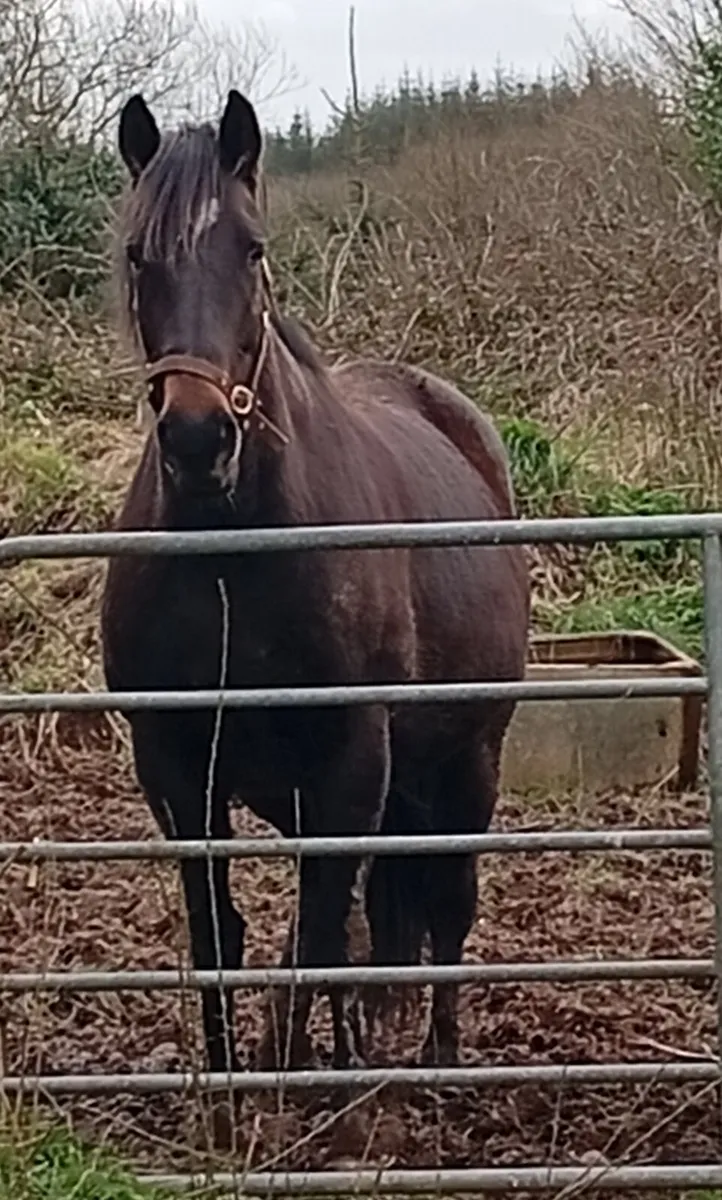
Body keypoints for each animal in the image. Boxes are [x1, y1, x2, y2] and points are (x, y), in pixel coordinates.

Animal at [101, 89, 530, 1097]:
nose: (198, 439)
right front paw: (233, 1094)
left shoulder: (348, 762)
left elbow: (329, 934)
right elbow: (226, 936)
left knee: (445, 905)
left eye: (252, 248)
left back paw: (434, 1064)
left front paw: (334, 1103)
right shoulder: (177, 771)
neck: (232, 558)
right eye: (138, 253)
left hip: (468, 762)